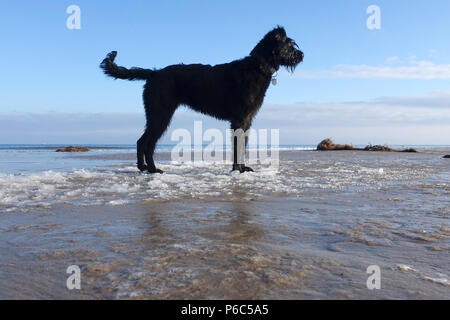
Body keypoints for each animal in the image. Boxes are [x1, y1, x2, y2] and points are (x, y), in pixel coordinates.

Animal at [100, 26, 304, 174]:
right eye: (289, 44)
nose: (302, 55)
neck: (257, 67)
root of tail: (154, 73)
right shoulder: (239, 120)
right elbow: (237, 146)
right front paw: (236, 170)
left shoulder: (247, 120)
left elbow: (242, 146)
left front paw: (243, 168)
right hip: (160, 115)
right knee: (147, 143)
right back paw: (152, 169)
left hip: (156, 115)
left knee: (141, 141)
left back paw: (143, 167)